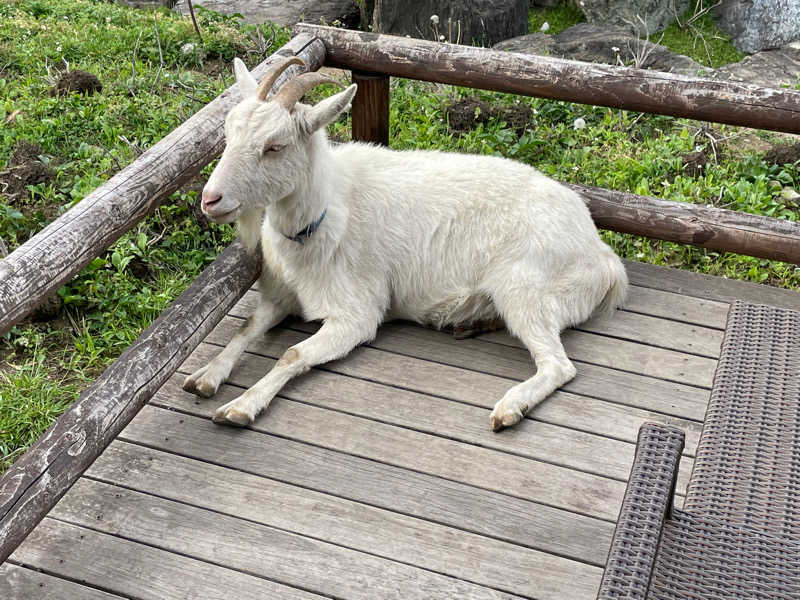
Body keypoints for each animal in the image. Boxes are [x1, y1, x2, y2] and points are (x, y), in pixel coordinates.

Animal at [184, 56, 628, 432]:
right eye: (227, 134)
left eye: (275, 146)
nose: (210, 200)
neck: (326, 214)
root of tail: (604, 256)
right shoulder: (279, 296)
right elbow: (245, 328)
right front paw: (205, 376)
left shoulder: (357, 314)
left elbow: (292, 354)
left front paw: (240, 406)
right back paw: (472, 323)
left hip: (525, 286)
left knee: (557, 365)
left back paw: (509, 407)